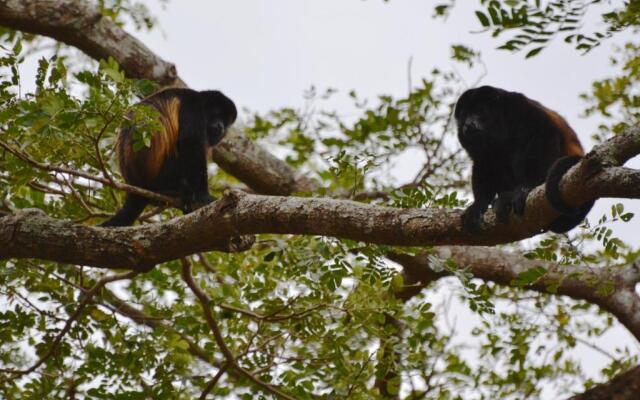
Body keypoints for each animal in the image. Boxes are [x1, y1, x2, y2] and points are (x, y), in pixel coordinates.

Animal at [101, 88, 236, 227]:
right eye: (218, 114)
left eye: (226, 121)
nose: (221, 126)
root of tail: (135, 184)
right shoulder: (193, 106)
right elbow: (190, 143)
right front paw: (204, 197)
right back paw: (172, 191)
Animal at [456, 85, 596, 233]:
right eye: (464, 115)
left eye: (479, 111)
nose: (468, 124)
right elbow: (483, 162)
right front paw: (478, 205)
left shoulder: (520, 108)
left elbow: (543, 133)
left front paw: (528, 186)